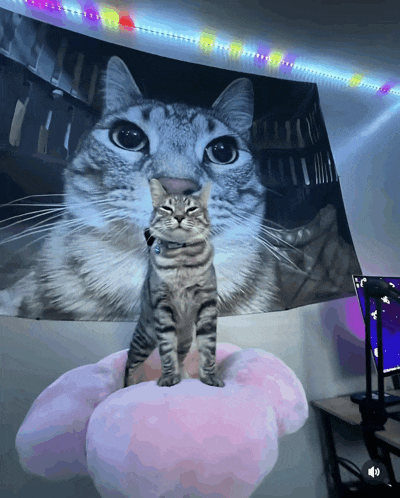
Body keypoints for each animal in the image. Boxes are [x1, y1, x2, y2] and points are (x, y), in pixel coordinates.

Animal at [124, 179, 223, 390]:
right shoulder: (163, 306)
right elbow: (167, 349)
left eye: (191, 208)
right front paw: (169, 378)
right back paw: (127, 386)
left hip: (185, 339)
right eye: (167, 208)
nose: (178, 217)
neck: (181, 257)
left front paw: (209, 377)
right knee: (129, 363)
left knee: (181, 357)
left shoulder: (207, 303)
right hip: (144, 339)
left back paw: (183, 375)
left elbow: (208, 347)